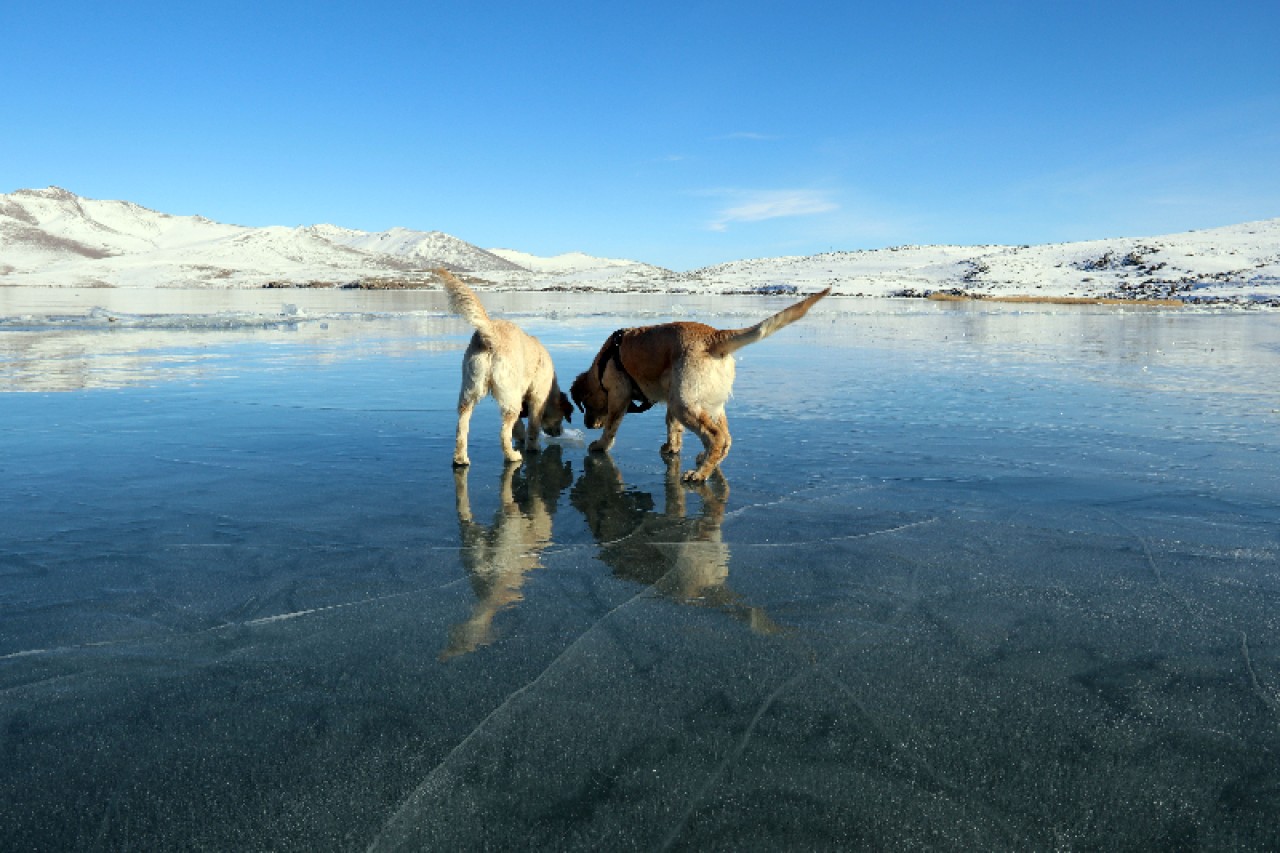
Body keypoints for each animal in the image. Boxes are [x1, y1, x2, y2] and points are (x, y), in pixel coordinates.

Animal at [570, 289, 829, 479]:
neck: (603, 363)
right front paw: (671, 448)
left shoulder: (619, 396)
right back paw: (707, 462)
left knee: (715, 437)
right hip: (708, 405)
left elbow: (611, 429)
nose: (587, 425)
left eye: (586, 405)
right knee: (726, 438)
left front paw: (600, 445)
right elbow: (673, 429)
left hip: (685, 404)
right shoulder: (670, 400)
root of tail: (714, 336)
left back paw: (700, 474)